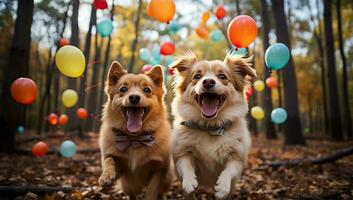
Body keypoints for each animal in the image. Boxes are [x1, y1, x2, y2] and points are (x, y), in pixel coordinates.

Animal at [98, 61, 173, 199]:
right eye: (123, 89)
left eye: (147, 90)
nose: (134, 97)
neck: (134, 138)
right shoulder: (119, 167)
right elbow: (108, 160)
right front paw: (106, 175)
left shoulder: (159, 169)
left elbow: (151, 191)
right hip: (127, 187)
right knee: (133, 195)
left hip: (168, 178)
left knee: (161, 192)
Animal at [169, 51, 254, 198]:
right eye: (197, 76)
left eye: (222, 76)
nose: (208, 81)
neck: (209, 127)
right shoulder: (181, 153)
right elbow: (185, 164)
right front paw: (189, 181)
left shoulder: (237, 158)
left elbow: (229, 170)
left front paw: (222, 187)